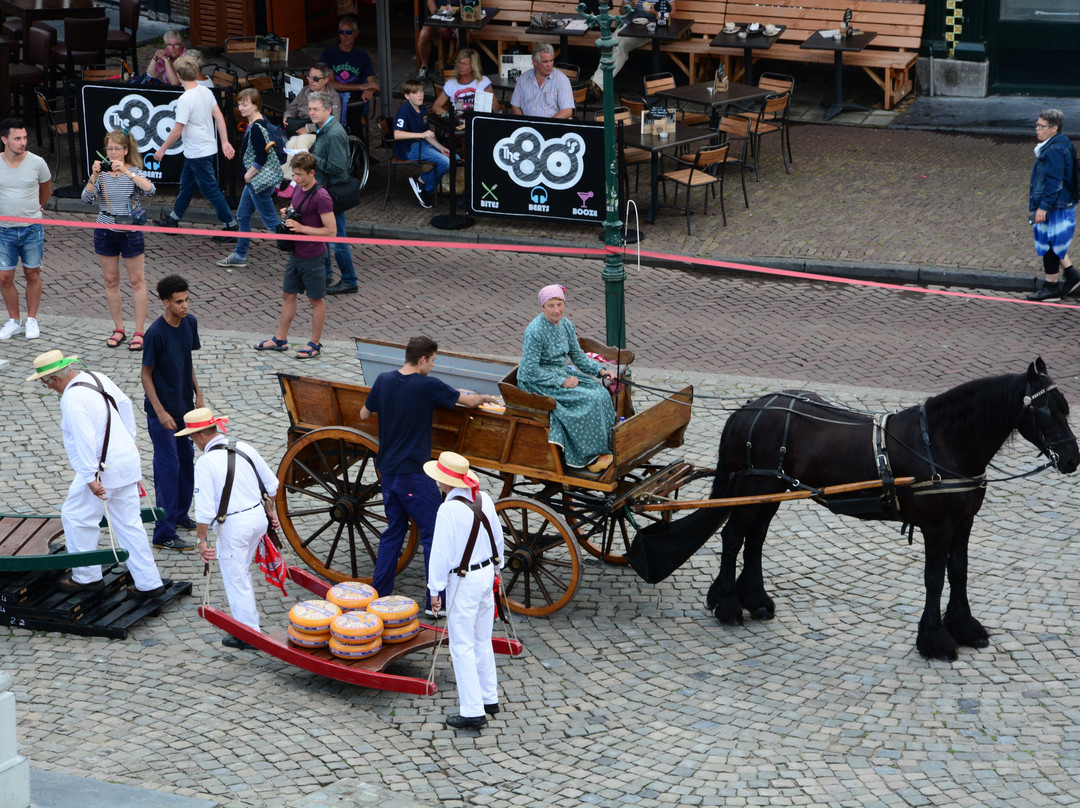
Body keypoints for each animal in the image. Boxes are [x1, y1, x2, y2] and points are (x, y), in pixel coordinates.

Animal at [630, 356, 1075, 661]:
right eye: (1044, 409)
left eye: (1066, 407)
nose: (1073, 459)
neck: (941, 442)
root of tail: (747, 410)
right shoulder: (937, 527)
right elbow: (935, 579)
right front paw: (935, 640)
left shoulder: (962, 523)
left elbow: (960, 573)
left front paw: (965, 627)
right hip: (755, 485)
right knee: (734, 536)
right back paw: (727, 605)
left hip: (773, 490)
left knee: (754, 539)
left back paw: (755, 599)